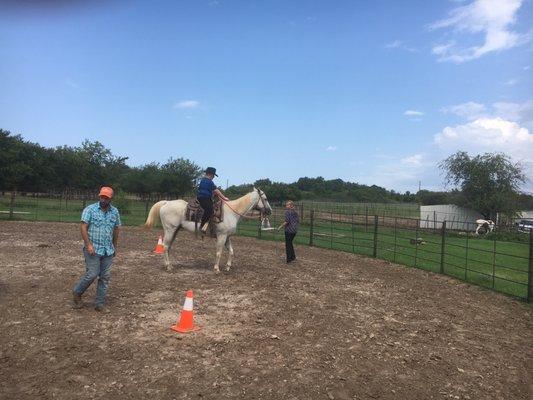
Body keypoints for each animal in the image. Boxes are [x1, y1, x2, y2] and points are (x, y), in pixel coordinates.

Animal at [142, 188, 270, 272]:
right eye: (265, 198)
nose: (270, 211)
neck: (232, 212)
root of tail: (166, 202)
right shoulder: (221, 236)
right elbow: (219, 252)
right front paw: (216, 268)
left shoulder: (227, 236)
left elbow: (231, 251)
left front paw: (228, 266)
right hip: (170, 230)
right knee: (165, 246)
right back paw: (168, 266)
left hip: (175, 231)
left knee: (167, 247)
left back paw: (168, 265)